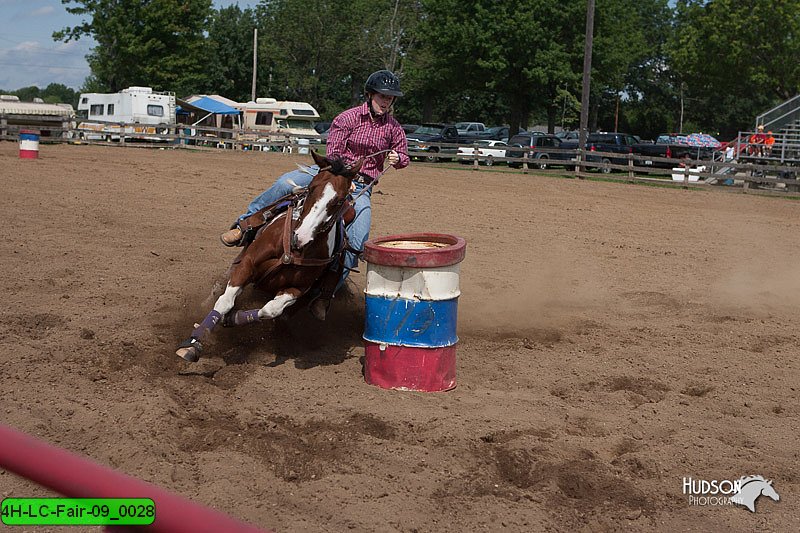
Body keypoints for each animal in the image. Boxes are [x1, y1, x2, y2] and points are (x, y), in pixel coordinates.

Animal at [178, 152, 362, 364]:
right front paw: (192, 344)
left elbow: (270, 310)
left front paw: (232, 319)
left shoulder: (297, 290)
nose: (300, 237)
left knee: (281, 316)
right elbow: (224, 302)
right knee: (221, 286)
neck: (294, 251)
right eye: (311, 188)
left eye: (338, 201)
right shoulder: (247, 264)